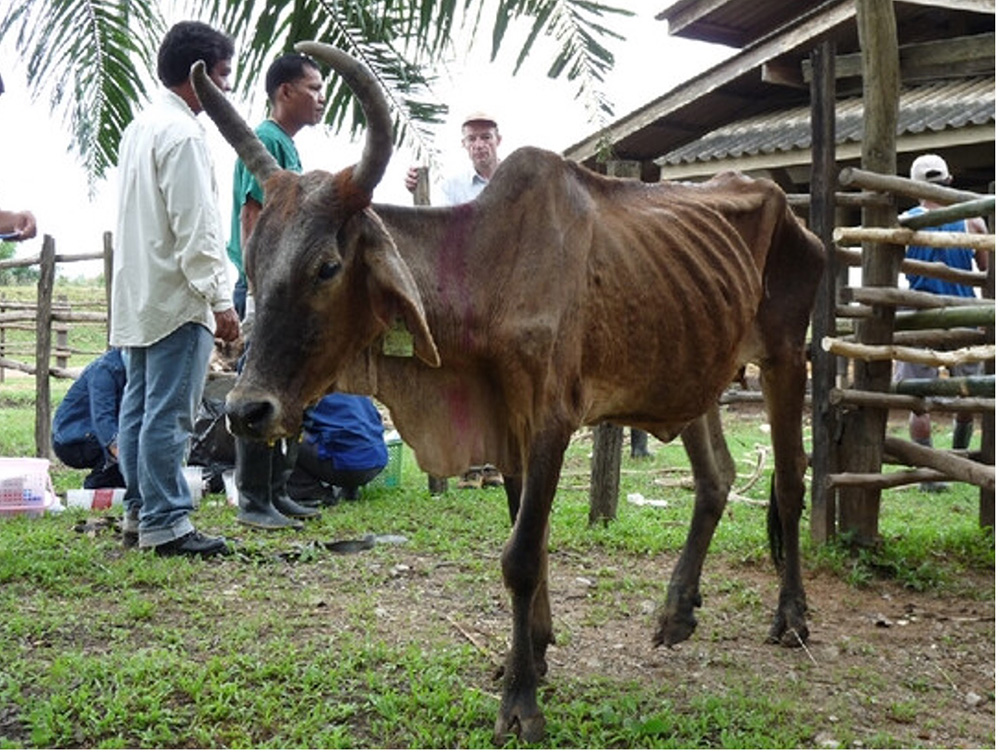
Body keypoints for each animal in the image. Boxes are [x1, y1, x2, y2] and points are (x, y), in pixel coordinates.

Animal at [191, 41, 826, 743]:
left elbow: (520, 555)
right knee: (717, 479)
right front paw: (533, 654)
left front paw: (521, 700)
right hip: (695, 370)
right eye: (253, 257)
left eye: (327, 267)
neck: (489, 266)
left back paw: (791, 616)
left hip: (785, 356)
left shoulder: (549, 418)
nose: (246, 410)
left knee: (790, 480)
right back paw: (676, 612)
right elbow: (534, 543)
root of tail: (790, 208)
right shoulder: (508, 423)